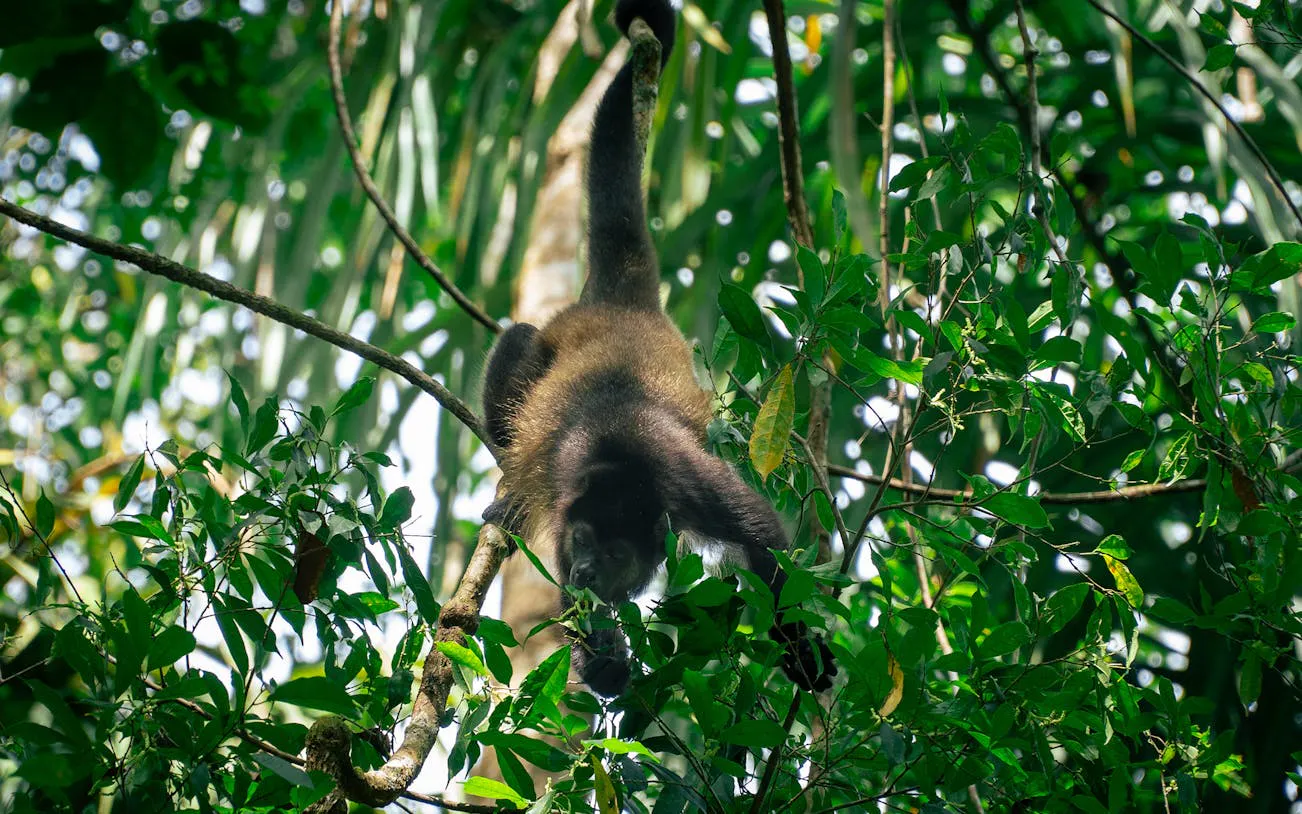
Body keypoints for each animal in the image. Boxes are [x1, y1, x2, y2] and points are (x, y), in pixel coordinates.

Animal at [480, 0, 836, 698]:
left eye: (616, 554)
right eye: (585, 541)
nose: (590, 572)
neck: (619, 456)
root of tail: (627, 306)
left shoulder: (691, 482)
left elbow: (765, 539)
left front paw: (798, 646)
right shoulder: (567, 500)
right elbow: (562, 587)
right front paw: (602, 658)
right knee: (519, 338)